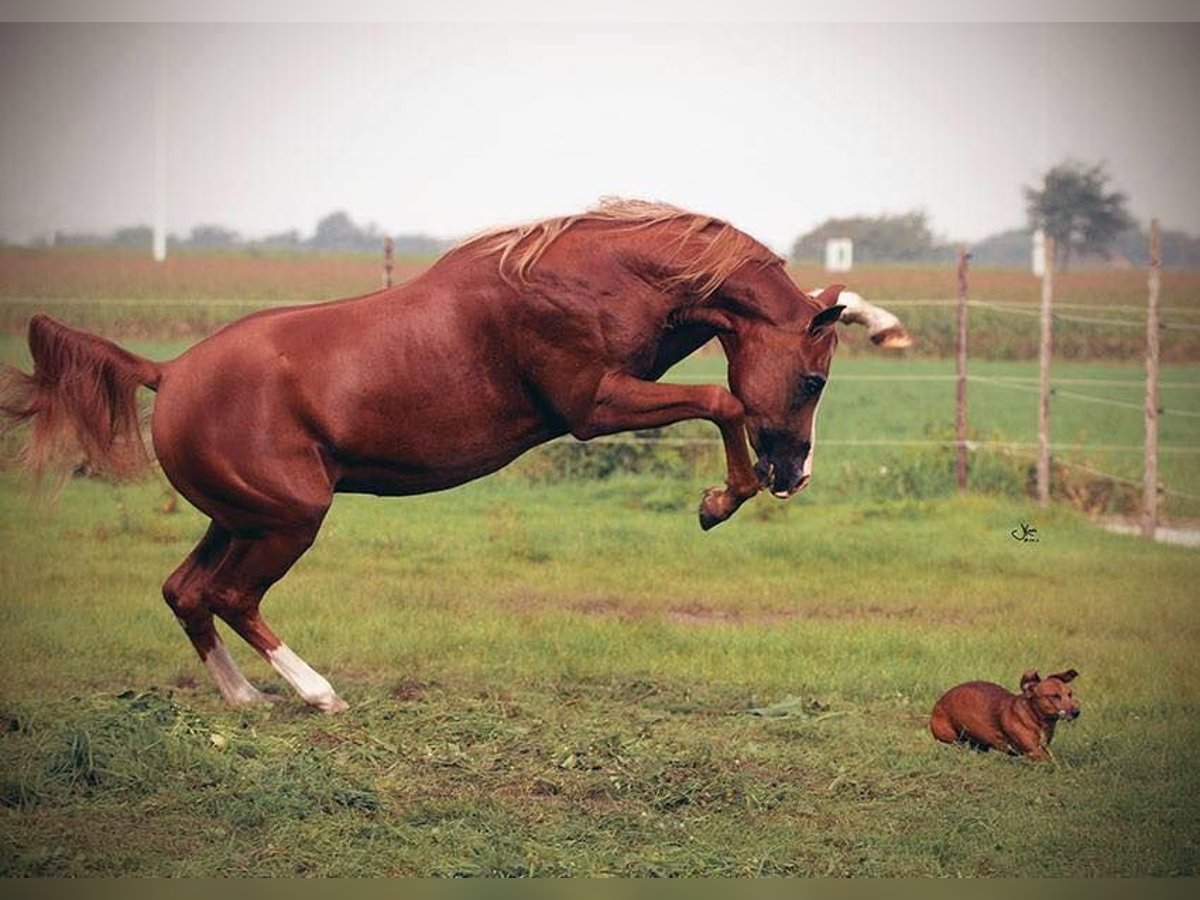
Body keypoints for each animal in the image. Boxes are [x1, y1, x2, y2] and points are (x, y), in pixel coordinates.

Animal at [0, 199, 910, 712]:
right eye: (813, 381)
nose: (794, 476)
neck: (589, 277)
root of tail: (168, 370)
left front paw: (882, 320)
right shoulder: (593, 404)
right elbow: (723, 402)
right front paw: (719, 502)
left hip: (239, 517)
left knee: (185, 592)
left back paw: (246, 699)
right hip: (288, 518)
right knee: (228, 596)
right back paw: (319, 695)